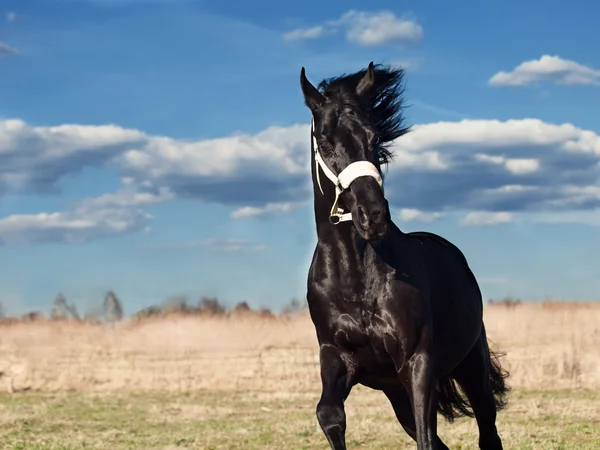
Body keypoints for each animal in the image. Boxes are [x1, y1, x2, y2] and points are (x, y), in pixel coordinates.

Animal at [298, 63, 508, 450]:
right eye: (325, 141)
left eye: (373, 138)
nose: (373, 215)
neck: (357, 281)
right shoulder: (336, 357)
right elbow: (328, 414)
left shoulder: (416, 363)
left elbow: (426, 437)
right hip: (396, 394)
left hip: (472, 367)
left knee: (487, 433)